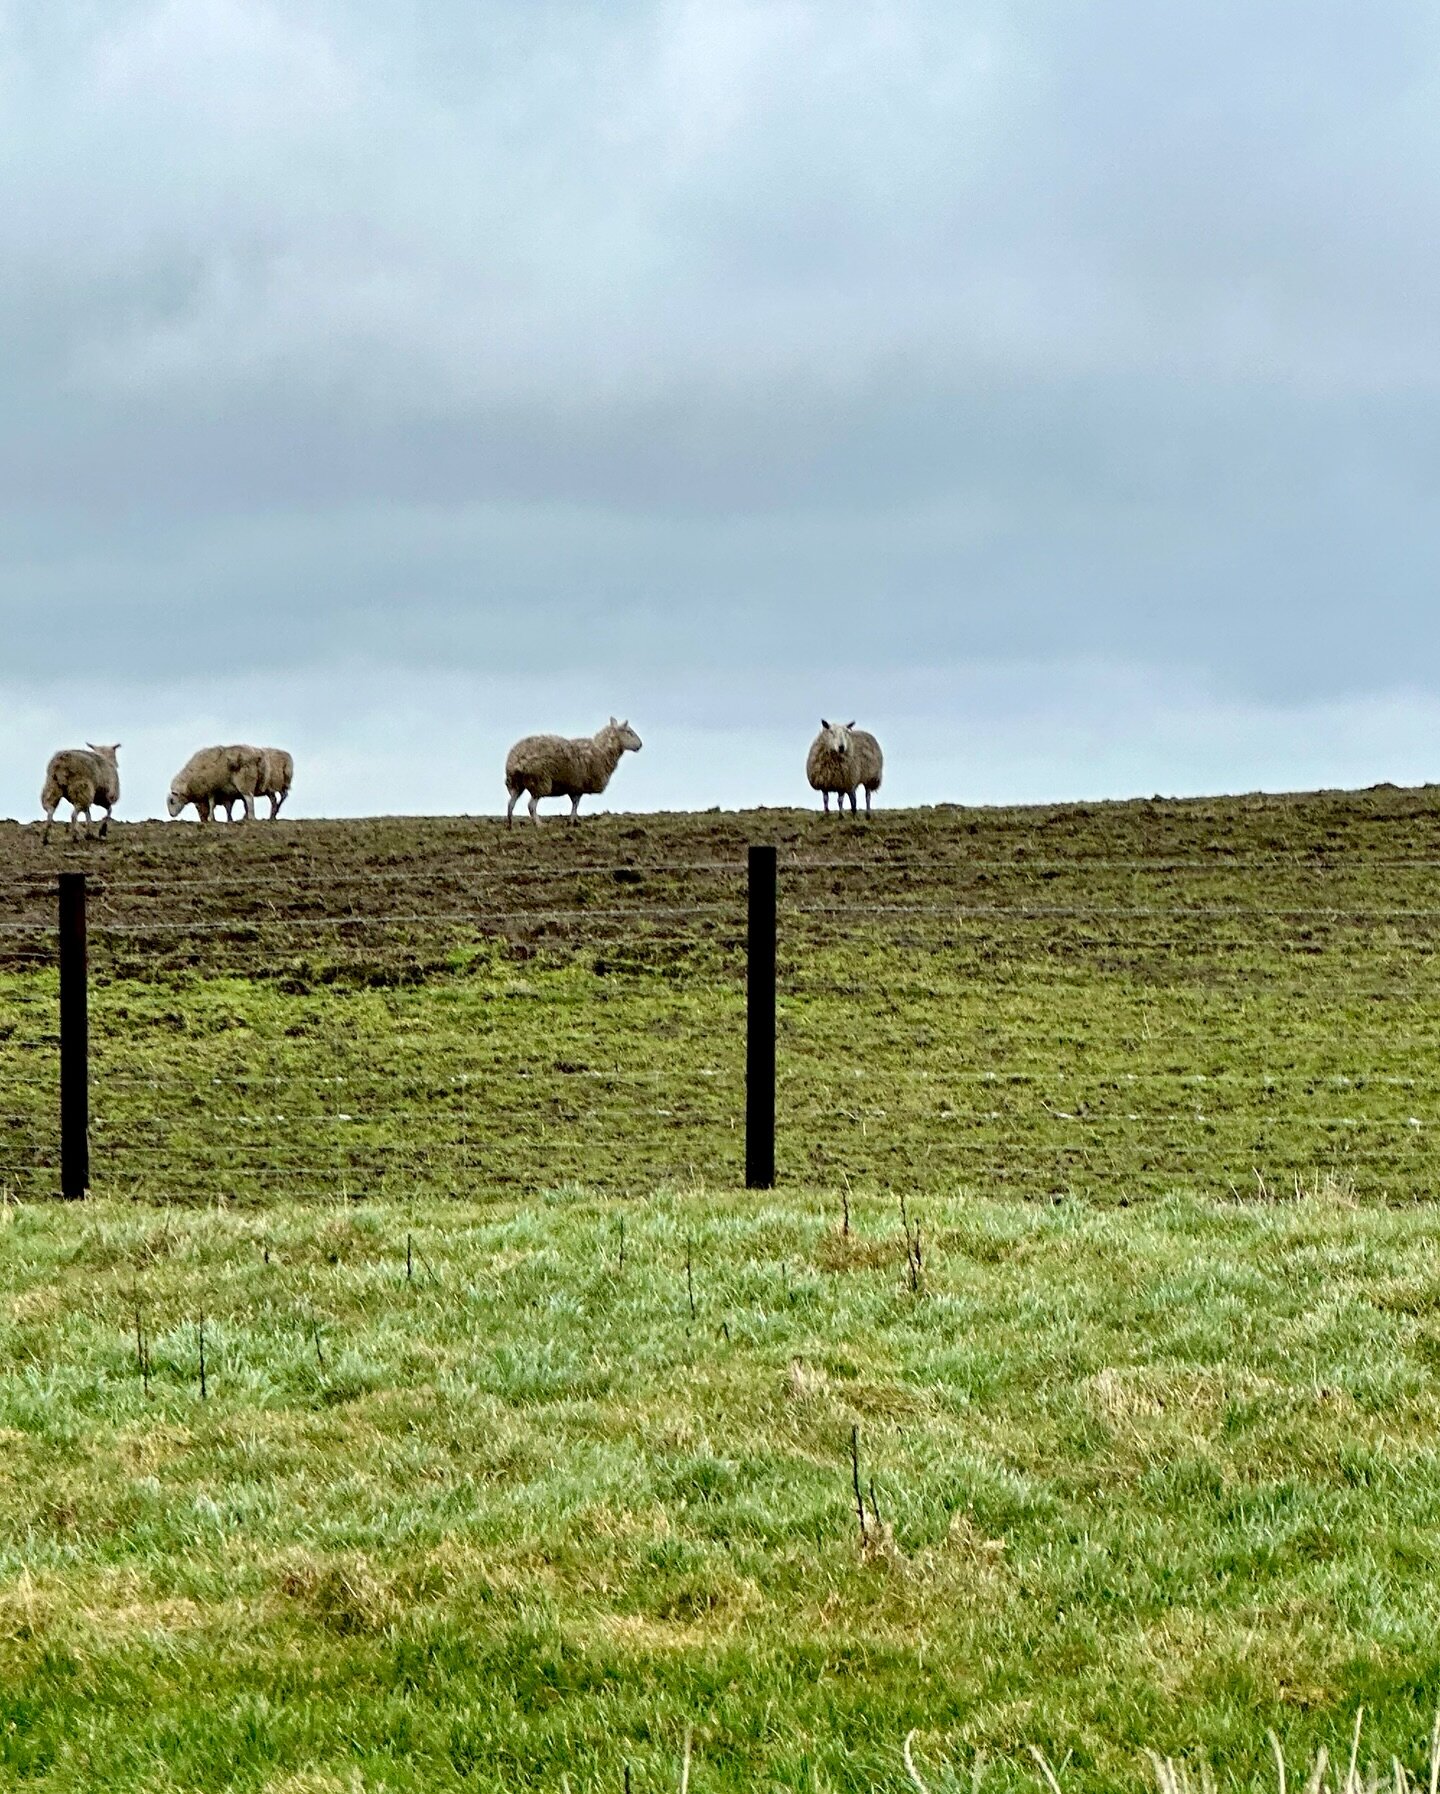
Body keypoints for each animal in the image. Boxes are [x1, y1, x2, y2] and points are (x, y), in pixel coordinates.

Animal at [505, 714, 641, 825]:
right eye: (629, 732)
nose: (640, 745)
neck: (602, 751)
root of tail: (515, 759)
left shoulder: (574, 786)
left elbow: (574, 803)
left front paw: (573, 820)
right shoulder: (578, 786)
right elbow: (576, 804)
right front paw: (572, 820)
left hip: (516, 784)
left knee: (511, 804)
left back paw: (511, 824)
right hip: (540, 781)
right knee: (531, 806)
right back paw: (539, 824)